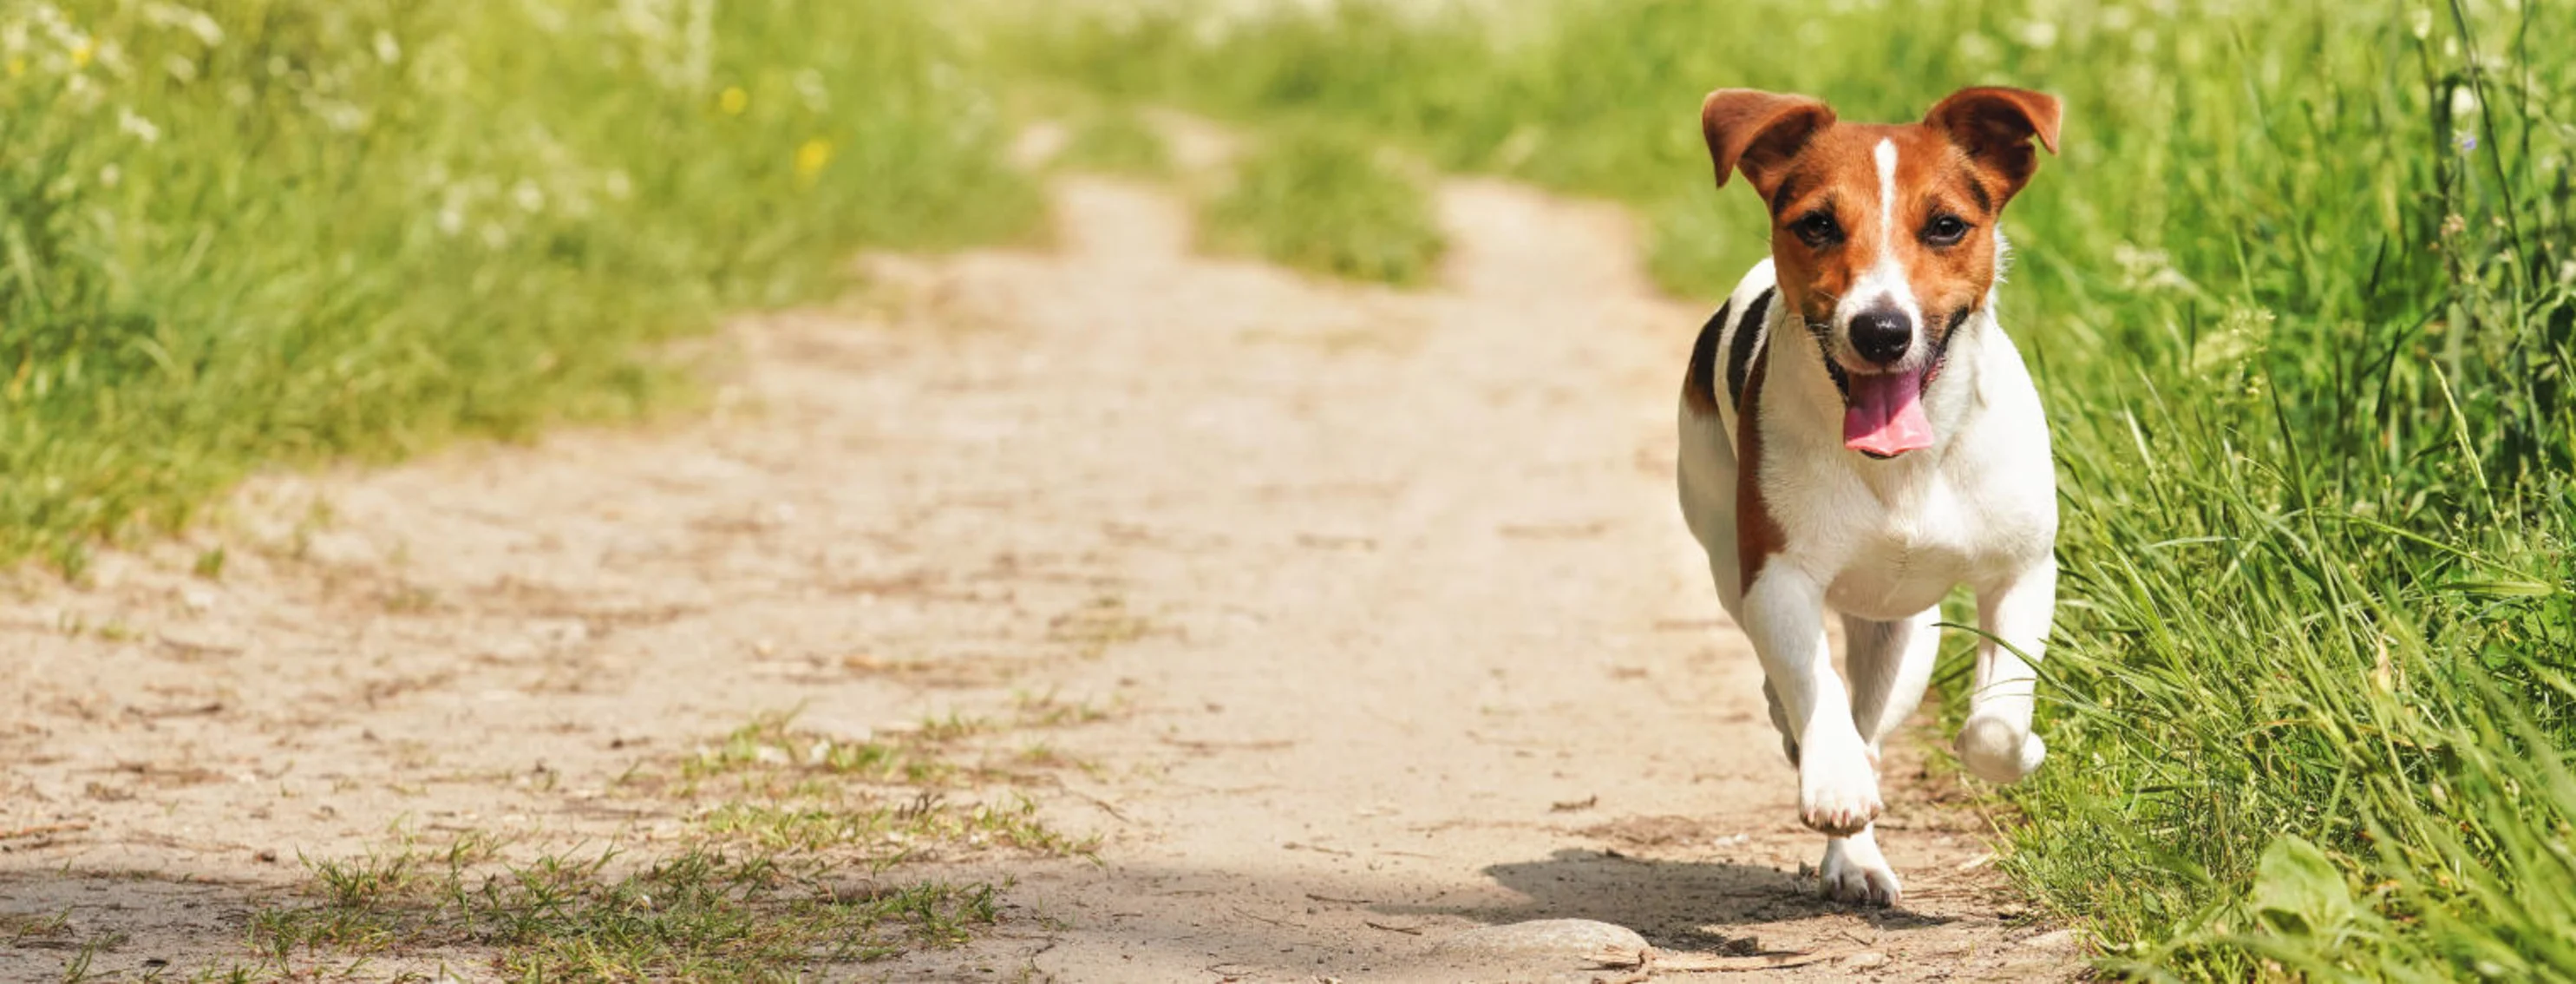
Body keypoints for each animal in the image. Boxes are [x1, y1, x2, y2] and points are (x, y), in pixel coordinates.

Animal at [1669, 86, 2070, 906]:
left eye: (1946, 225)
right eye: (1817, 224)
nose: (1881, 330)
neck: (1907, 465)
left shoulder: (2023, 571)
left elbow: (1995, 722)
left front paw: (2020, 747)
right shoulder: (1777, 578)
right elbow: (1812, 682)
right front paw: (1832, 778)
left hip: (1907, 640)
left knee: (1874, 720)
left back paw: (1855, 855)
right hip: (1724, 550)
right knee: (1808, 693)